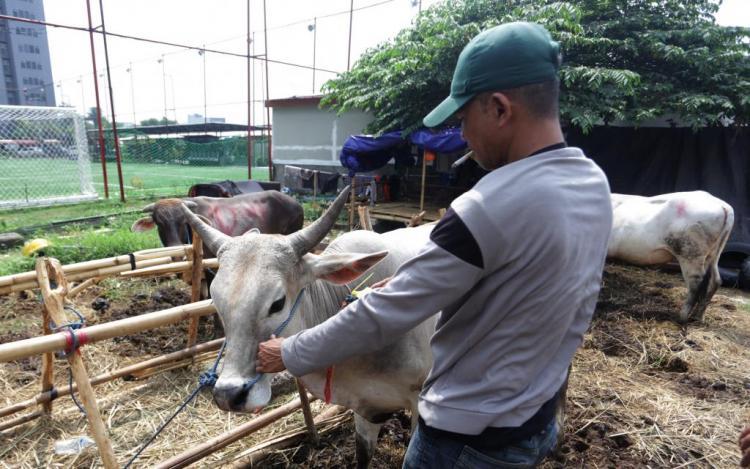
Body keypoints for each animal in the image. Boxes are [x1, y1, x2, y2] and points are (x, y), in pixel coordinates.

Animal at [612, 190, 736, 322]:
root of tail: (723, 206)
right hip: (714, 253)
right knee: (715, 280)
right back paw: (697, 317)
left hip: (690, 252)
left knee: (696, 282)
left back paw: (682, 317)